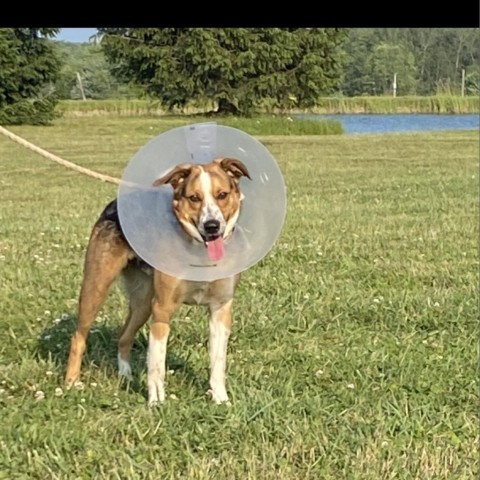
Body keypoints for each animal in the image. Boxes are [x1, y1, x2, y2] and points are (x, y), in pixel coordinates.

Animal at [65, 158, 251, 404]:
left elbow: (217, 363)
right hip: (97, 287)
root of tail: (115, 204)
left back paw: (125, 376)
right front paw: (156, 403)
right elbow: (156, 363)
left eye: (222, 195)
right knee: (78, 337)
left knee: (123, 337)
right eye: (194, 198)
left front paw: (221, 400)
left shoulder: (220, 308)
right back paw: (70, 382)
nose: (212, 226)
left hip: (143, 301)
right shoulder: (163, 307)